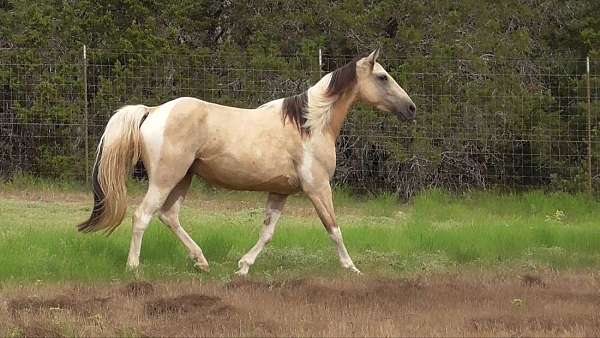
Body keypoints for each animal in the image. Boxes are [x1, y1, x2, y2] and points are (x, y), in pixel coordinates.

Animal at [77, 50, 414, 276]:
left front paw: (243, 267)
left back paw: (201, 262)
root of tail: (154, 111)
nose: (410, 108)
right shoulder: (318, 187)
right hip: (165, 178)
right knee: (142, 216)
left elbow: (267, 233)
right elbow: (334, 228)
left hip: (182, 178)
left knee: (169, 216)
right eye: (382, 76)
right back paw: (134, 268)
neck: (309, 124)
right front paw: (352, 268)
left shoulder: (280, 192)